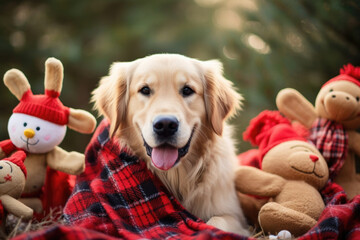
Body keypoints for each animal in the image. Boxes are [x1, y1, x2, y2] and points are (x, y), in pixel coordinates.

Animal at [93, 53, 249, 235]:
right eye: (145, 90)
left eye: (187, 90)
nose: (166, 125)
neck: (176, 175)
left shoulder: (235, 216)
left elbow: (216, 222)